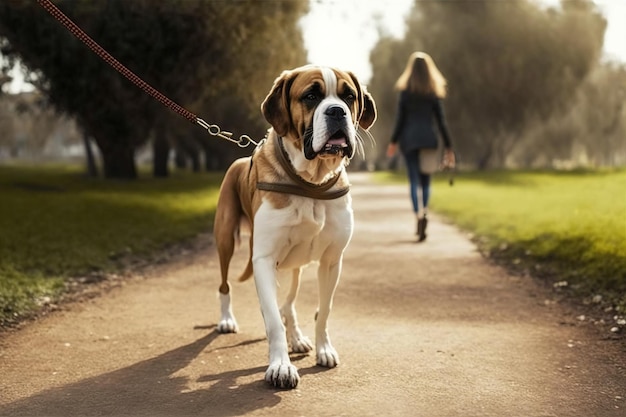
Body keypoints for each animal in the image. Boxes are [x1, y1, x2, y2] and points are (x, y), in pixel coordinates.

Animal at [213, 64, 376, 386]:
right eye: (311, 96)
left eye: (349, 96)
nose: (337, 111)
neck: (310, 182)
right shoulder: (264, 260)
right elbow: (273, 321)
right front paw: (280, 366)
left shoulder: (331, 261)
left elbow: (323, 310)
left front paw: (324, 349)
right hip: (226, 239)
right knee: (227, 285)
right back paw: (226, 319)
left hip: (293, 267)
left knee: (287, 303)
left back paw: (297, 337)